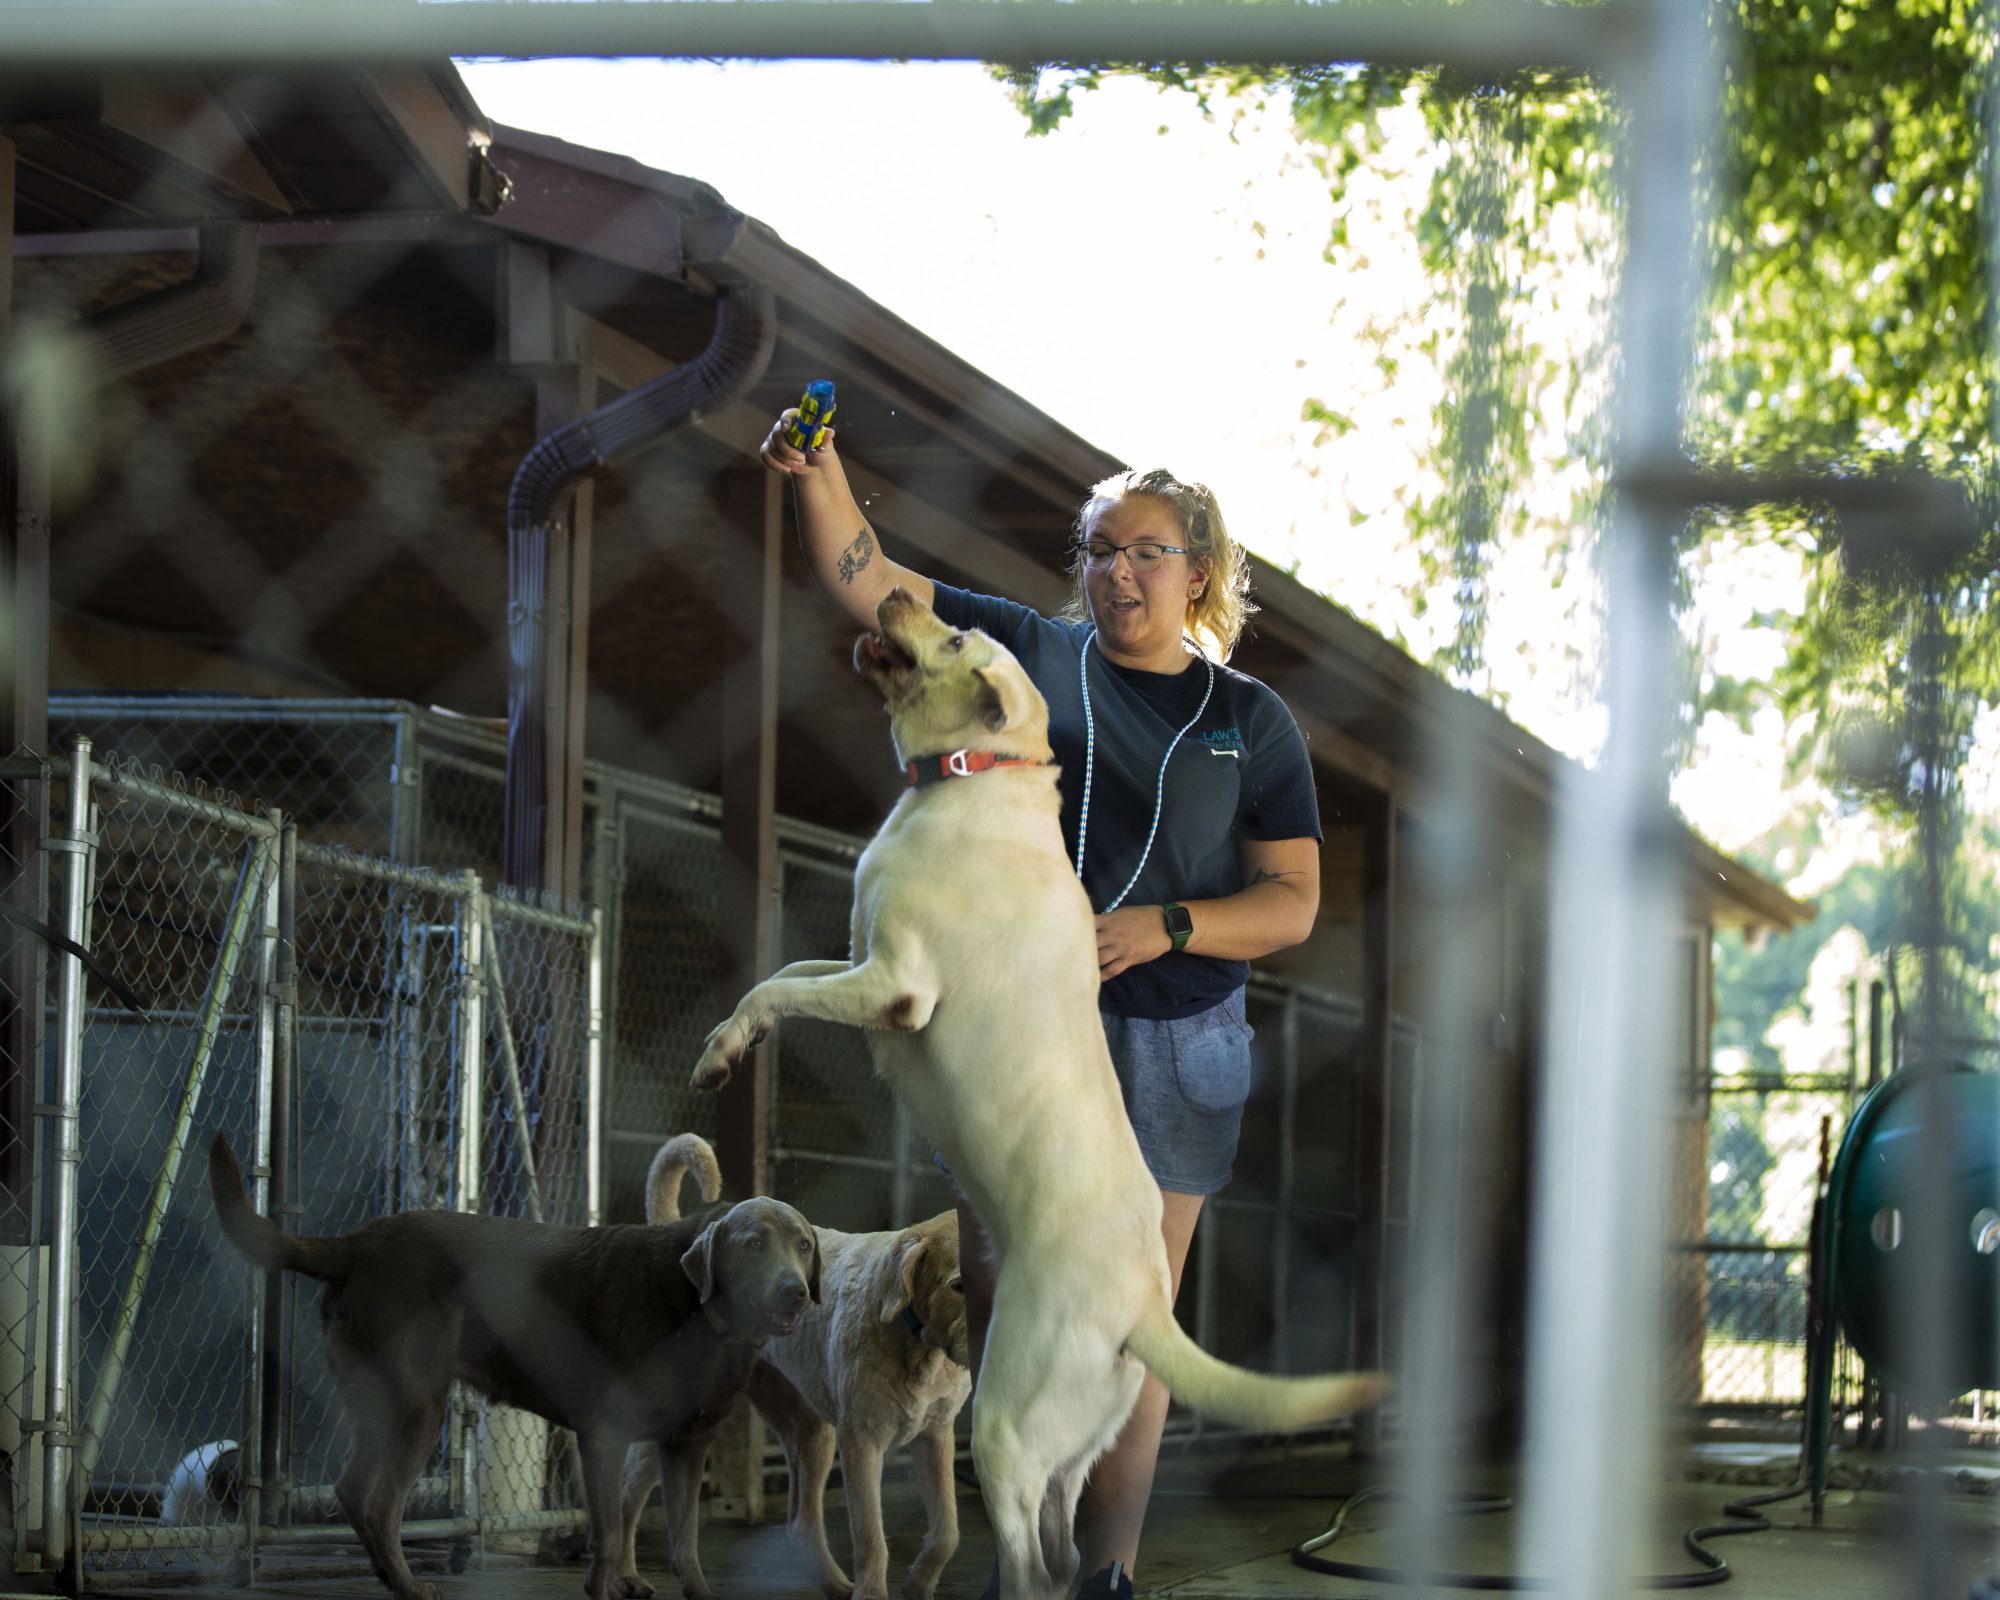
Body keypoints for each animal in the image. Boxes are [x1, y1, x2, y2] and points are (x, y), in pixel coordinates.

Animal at [620, 1128, 972, 1600]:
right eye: (958, 1285)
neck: (915, 1342)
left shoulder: (936, 1436)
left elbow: (947, 1532)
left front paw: (918, 1583)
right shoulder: (862, 1442)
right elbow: (871, 1538)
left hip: (811, 1429)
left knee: (801, 1523)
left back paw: (835, 1584)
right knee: (626, 1497)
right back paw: (624, 1574)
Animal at [688, 592, 1392, 1600]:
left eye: (950, 638)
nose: (899, 592)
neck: (974, 778)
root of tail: (1145, 1304)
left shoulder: (895, 985)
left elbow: (771, 988)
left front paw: (719, 1054)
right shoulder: (857, 964)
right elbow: (779, 975)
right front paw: (729, 1044)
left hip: (1006, 1422)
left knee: (1028, 1561)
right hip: (1067, 1445)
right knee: (1059, 1554)